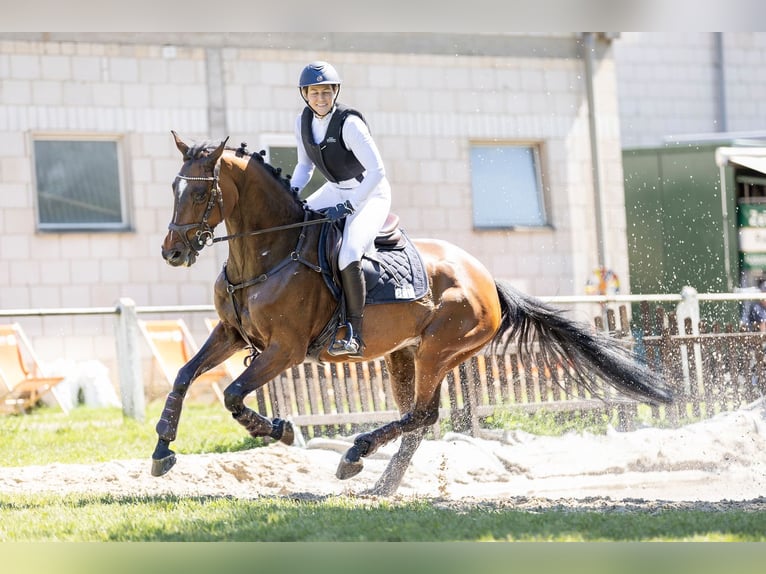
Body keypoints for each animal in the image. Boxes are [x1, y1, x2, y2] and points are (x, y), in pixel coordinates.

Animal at [152, 131, 673, 496]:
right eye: (173, 187)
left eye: (199, 193)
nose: (172, 253)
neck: (266, 252)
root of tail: (486, 278)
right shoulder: (231, 334)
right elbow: (184, 375)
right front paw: (161, 449)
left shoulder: (284, 349)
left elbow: (234, 395)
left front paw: (279, 430)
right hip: (404, 356)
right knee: (418, 419)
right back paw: (380, 483)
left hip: (438, 351)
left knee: (424, 415)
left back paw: (356, 454)